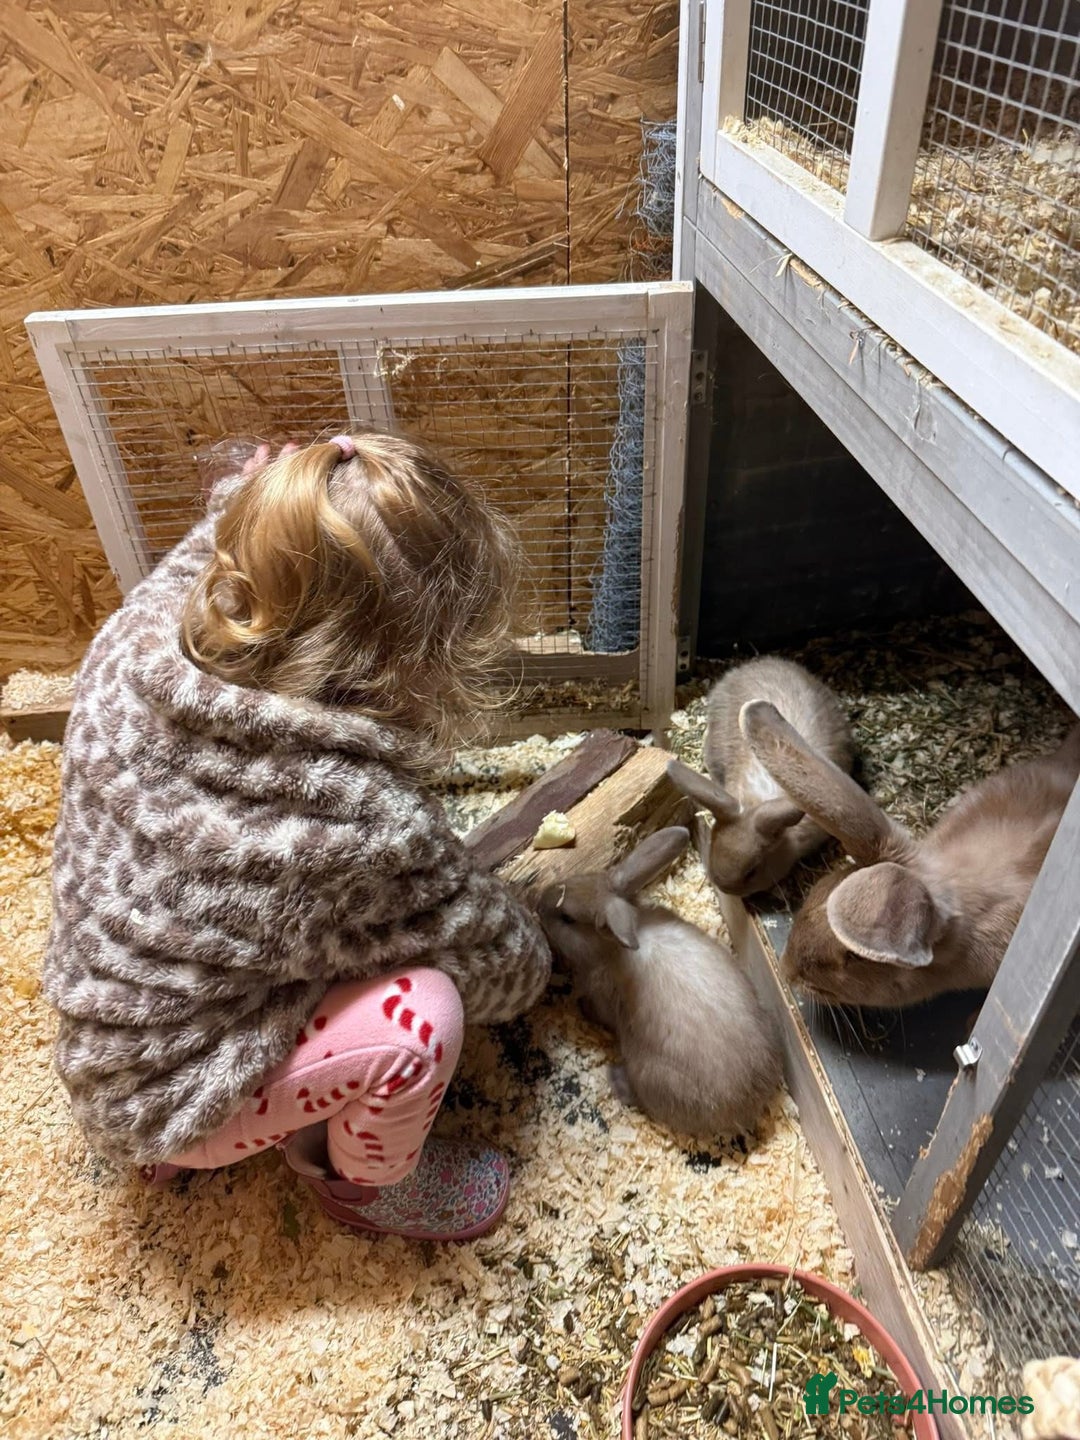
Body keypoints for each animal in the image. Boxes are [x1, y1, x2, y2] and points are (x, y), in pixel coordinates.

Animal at [536, 825, 783, 1139]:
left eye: (566, 918)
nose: (539, 904)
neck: (610, 948)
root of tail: (747, 1110)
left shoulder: (603, 997)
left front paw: (582, 1008)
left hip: (647, 1074)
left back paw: (615, 1077)